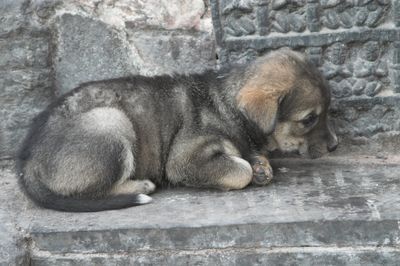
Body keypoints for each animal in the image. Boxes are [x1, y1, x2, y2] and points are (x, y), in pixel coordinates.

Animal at [17, 48, 340, 212]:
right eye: (309, 119)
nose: (335, 146)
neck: (227, 104)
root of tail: (27, 163)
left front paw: (261, 165)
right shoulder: (185, 158)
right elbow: (240, 171)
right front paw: (251, 168)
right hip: (110, 121)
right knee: (85, 191)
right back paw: (139, 186)